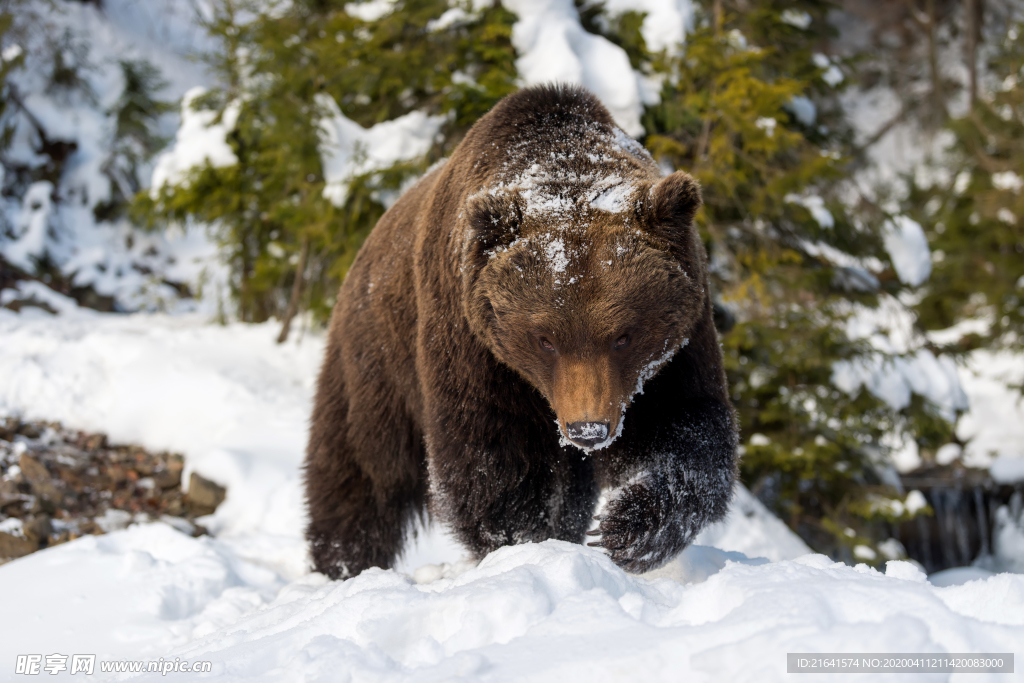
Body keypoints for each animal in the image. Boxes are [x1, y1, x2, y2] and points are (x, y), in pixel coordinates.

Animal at [304, 84, 738, 579]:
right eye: (545, 339)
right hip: (377, 359)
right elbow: (492, 458)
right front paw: (524, 544)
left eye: (623, 335)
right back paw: (341, 562)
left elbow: (682, 427)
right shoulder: (476, 346)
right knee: (359, 470)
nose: (588, 429)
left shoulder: (673, 349)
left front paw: (627, 528)